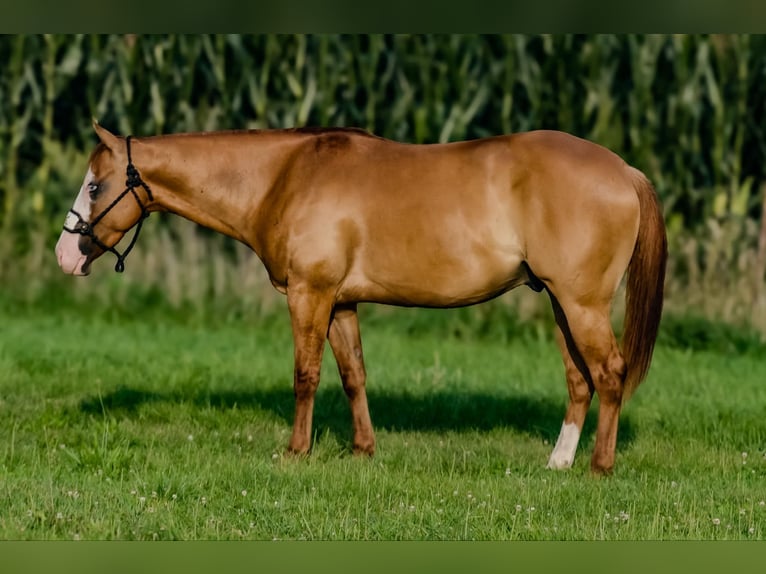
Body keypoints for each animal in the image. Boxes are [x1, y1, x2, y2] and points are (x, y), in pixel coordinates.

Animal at [55, 119, 664, 474]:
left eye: (95, 186)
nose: (65, 255)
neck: (285, 176)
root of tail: (623, 169)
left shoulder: (309, 294)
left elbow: (306, 375)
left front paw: (296, 452)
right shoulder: (341, 302)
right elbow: (353, 375)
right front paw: (362, 451)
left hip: (581, 305)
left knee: (609, 373)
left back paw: (600, 467)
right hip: (561, 304)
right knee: (580, 380)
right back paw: (558, 463)